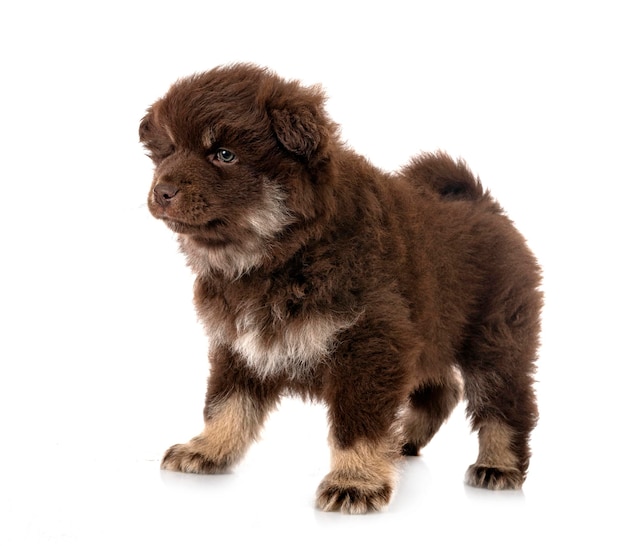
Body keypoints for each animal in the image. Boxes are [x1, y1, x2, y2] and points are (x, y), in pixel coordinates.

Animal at [139, 63, 540, 510]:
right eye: (169, 150)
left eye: (224, 154)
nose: (162, 191)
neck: (280, 254)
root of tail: (486, 205)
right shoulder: (239, 343)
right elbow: (226, 405)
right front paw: (207, 449)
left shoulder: (370, 344)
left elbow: (357, 425)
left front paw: (355, 481)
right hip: (433, 333)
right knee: (442, 390)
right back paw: (403, 441)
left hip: (495, 341)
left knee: (503, 405)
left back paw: (497, 466)